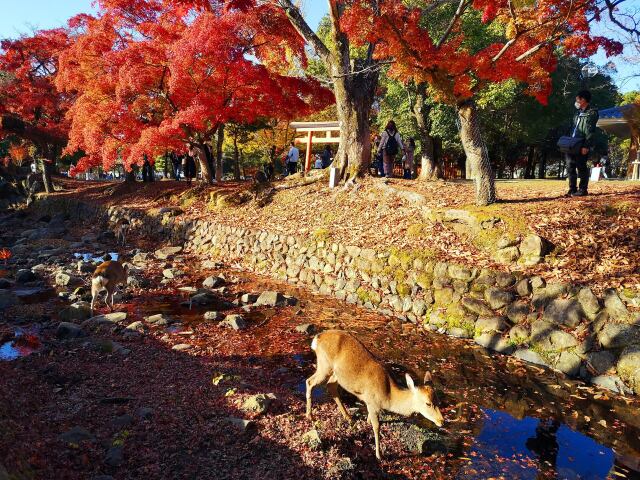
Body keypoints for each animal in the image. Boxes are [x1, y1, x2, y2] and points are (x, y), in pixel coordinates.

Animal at [308, 328, 442, 460]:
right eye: (428, 403)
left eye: (437, 400)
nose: (441, 421)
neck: (388, 396)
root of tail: (317, 339)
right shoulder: (373, 403)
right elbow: (377, 427)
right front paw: (379, 455)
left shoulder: (370, 403)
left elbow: (370, 422)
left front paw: (366, 423)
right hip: (324, 365)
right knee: (310, 381)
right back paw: (310, 416)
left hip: (336, 374)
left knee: (330, 386)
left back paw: (348, 417)